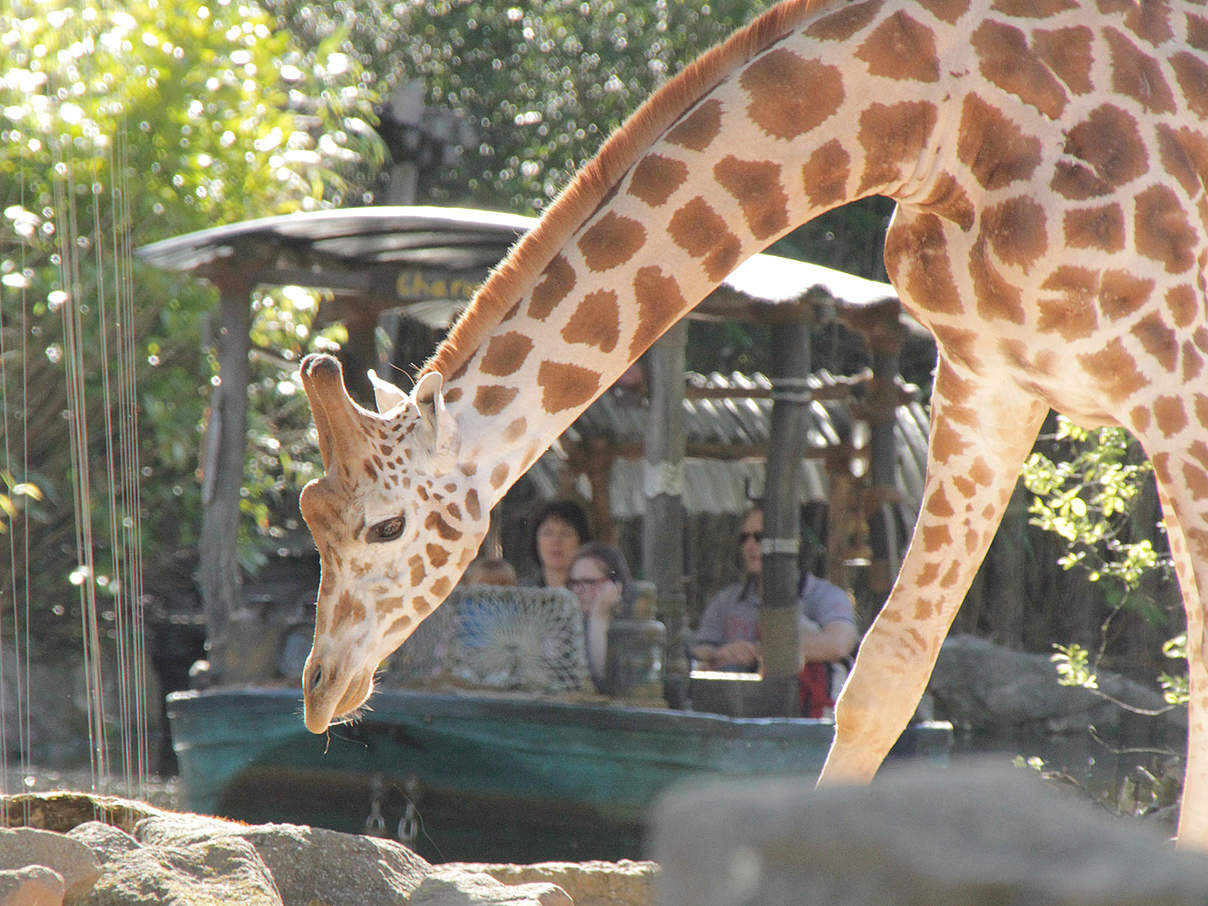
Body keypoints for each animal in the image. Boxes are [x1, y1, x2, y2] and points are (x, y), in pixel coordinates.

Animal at [294, 0, 1208, 845]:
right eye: (312, 521)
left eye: (386, 526)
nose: (319, 689)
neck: (932, 119)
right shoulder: (989, 374)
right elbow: (885, 670)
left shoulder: (1179, 381)